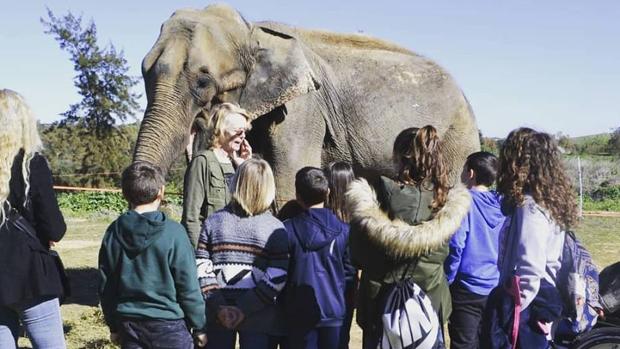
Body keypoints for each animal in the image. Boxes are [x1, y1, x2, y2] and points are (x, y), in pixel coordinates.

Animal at [134, 4, 480, 205]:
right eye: (143, 69)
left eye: (203, 81)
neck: (252, 30)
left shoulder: (304, 108)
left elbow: (289, 178)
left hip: (457, 139)